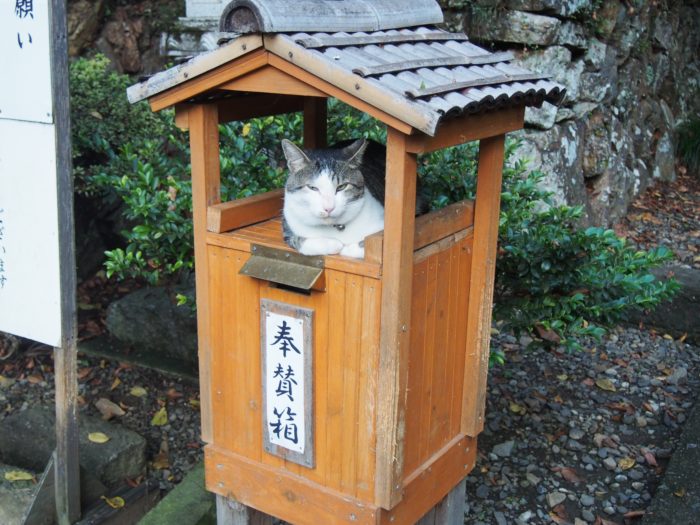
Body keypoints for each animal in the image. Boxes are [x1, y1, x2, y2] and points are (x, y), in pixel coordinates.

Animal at [278, 136, 426, 256]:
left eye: (341, 187)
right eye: (312, 188)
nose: (328, 208)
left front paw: (348, 248)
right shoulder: (288, 226)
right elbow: (299, 241)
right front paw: (334, 244)